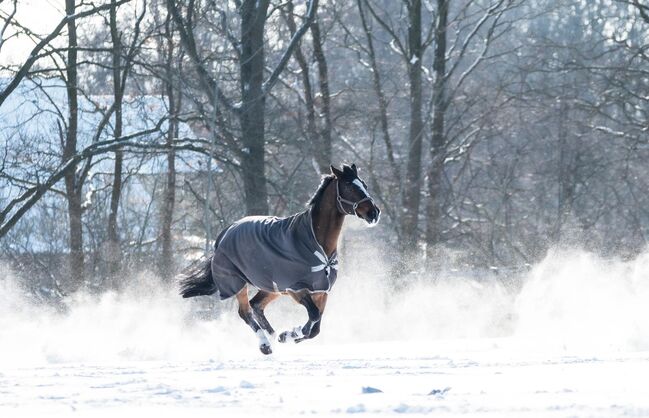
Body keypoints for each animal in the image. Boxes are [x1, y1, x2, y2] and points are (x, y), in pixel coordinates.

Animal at [177, 165, 380, 354]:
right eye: (348, 186)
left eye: (364, 185)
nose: (374, 213)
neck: (317, 244)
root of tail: (225, 233)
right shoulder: (295, 289)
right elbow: (313, 317)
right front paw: (291, 333)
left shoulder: (321, 291)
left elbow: (315, 327)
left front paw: (288, 335)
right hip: (238, 283)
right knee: (245, 311)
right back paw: (266, 344)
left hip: (271, 287)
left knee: (256, 306)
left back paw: (274, 337)